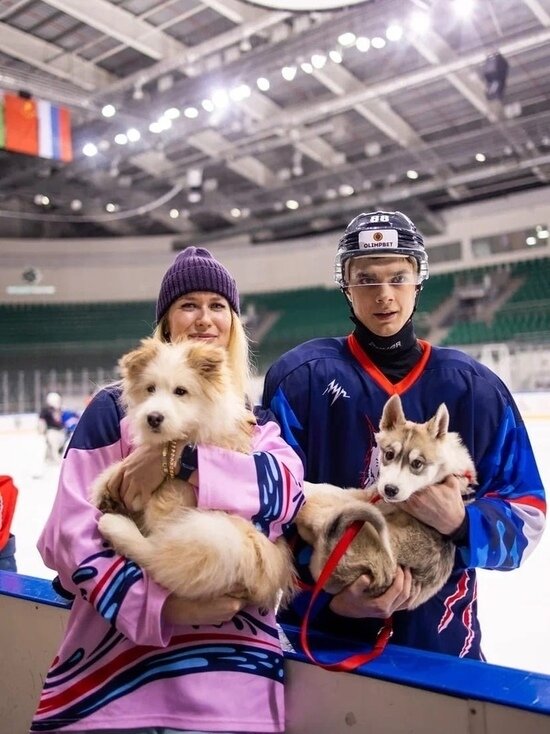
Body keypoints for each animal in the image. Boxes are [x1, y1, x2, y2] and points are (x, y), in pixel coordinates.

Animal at [91, 340, 298, 608]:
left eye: (181, 391)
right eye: (150, 389)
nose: (153, 418)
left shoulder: (178, 498)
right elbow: (122, 466)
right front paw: (105, 486)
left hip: (217, 535)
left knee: (158, 555)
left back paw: (115, 525)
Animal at [296, 396, 476, 608]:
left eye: (417, 463)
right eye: (389, 455)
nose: (390, 490)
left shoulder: (369, 496)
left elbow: (333, 488)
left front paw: (306, 484)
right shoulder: (375, 492)